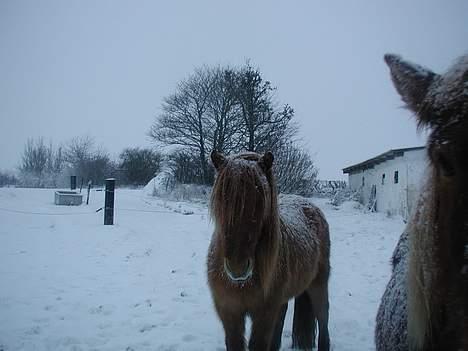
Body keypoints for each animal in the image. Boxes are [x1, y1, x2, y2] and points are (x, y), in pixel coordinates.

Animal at [207, 152, 330, 351]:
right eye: (221, 199)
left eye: (260, 200)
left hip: (319, 283)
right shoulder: (229, 312)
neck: (243, 284)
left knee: (323, 316)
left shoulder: (264, 315)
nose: (237, 267)